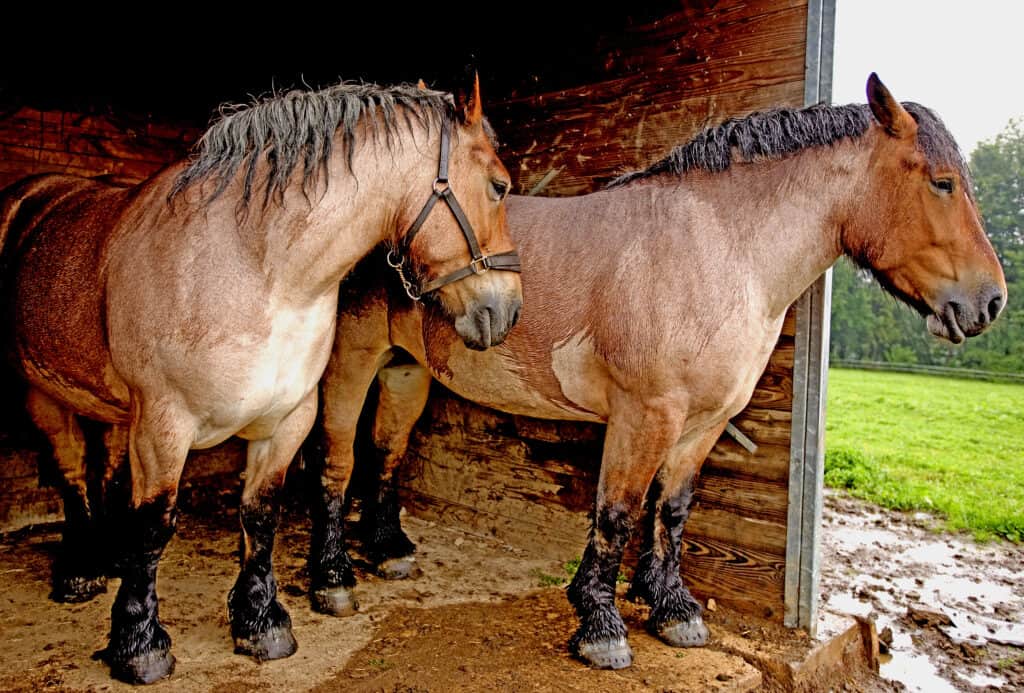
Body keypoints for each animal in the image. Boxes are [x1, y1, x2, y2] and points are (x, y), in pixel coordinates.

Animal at [0, 77, 524, 679]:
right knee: (71, 471)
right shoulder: (162, 427)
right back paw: (82, 569)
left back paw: (108, 557)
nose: (506, 310)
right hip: (41, 392)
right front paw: (139, 644)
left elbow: (260, 514)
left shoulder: (288, 419)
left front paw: (260, 621)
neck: (258, 272)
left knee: (104, 465)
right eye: (499, 187)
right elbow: (155, 526)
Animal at [307, 75, 1003, 671]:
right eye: (943, 183)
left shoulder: (704, 423)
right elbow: (617, 513)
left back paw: (388, 550)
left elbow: (671, 511)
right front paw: (600, 628)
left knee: (385, 453)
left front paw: (672, 611)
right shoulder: (645, 415)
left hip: (407, 370)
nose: (990, 302)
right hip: (353, 364)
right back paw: (333, 581)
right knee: (338, 462)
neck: (719, 248)